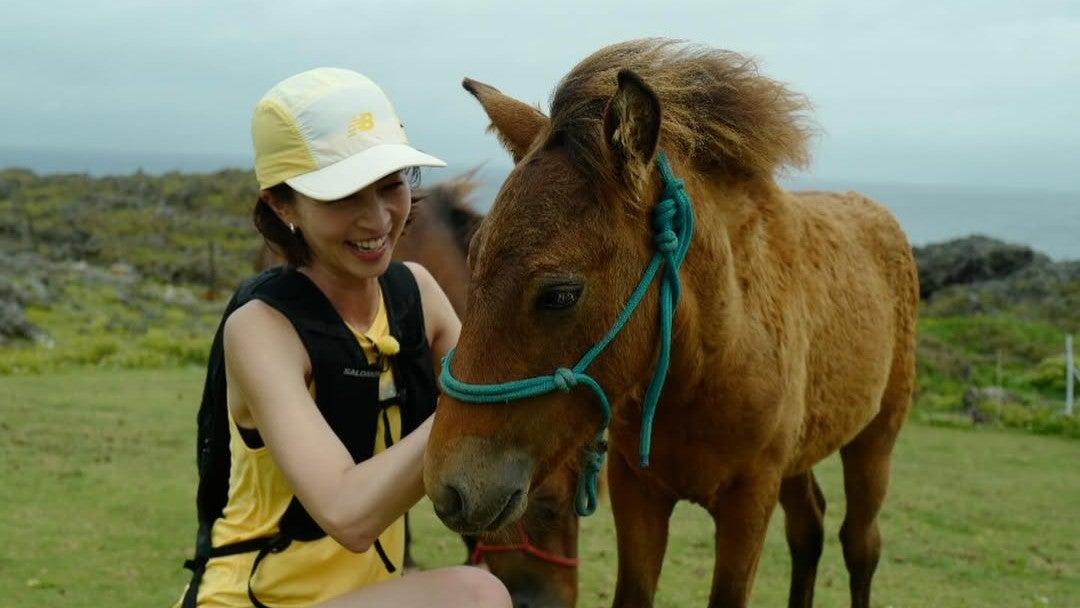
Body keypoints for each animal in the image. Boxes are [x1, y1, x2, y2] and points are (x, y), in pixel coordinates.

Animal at [423, 38, 920, 608]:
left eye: (560, 295)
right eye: (472, 260)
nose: (448, 488)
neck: (707, 363)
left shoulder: (749, 502)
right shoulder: (638, 492)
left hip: (875, 441)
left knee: (860, 544)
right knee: (808, 530)